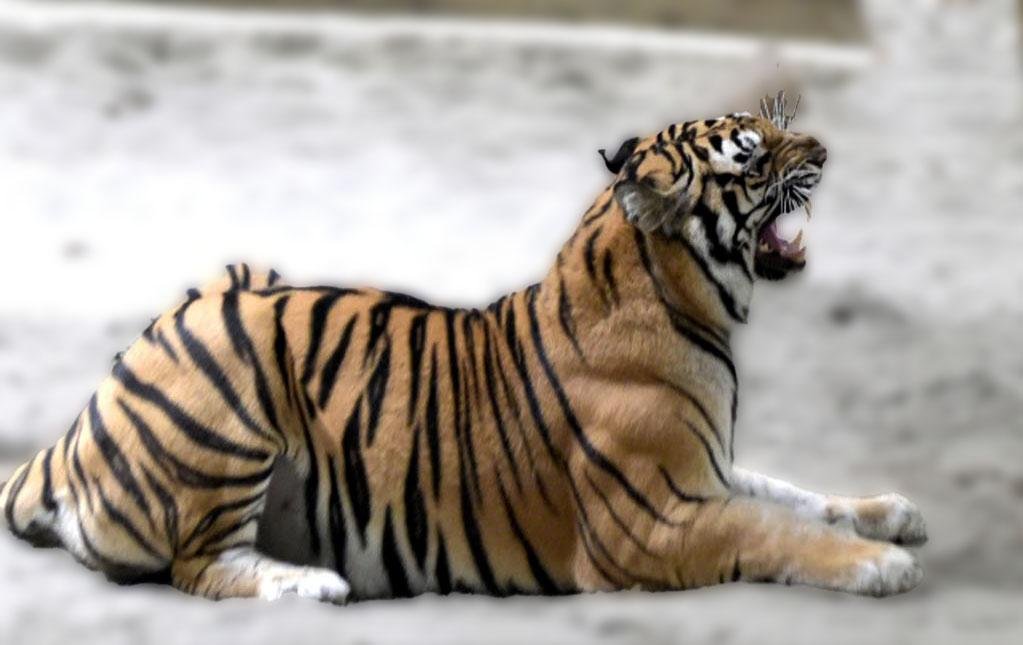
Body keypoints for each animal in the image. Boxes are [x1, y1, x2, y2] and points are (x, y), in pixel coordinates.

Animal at [0, 95, 927, 603]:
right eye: (752, 155)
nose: (823, 151)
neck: (696, 301)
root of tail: (71, 432)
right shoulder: (650, 519)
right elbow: (773, 528)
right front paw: (882, 562)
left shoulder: (703, 471)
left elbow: (793, 493)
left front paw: (890, 510)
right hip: (231, 372)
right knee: (198, 564)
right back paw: (311, 582)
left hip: (242, 275)